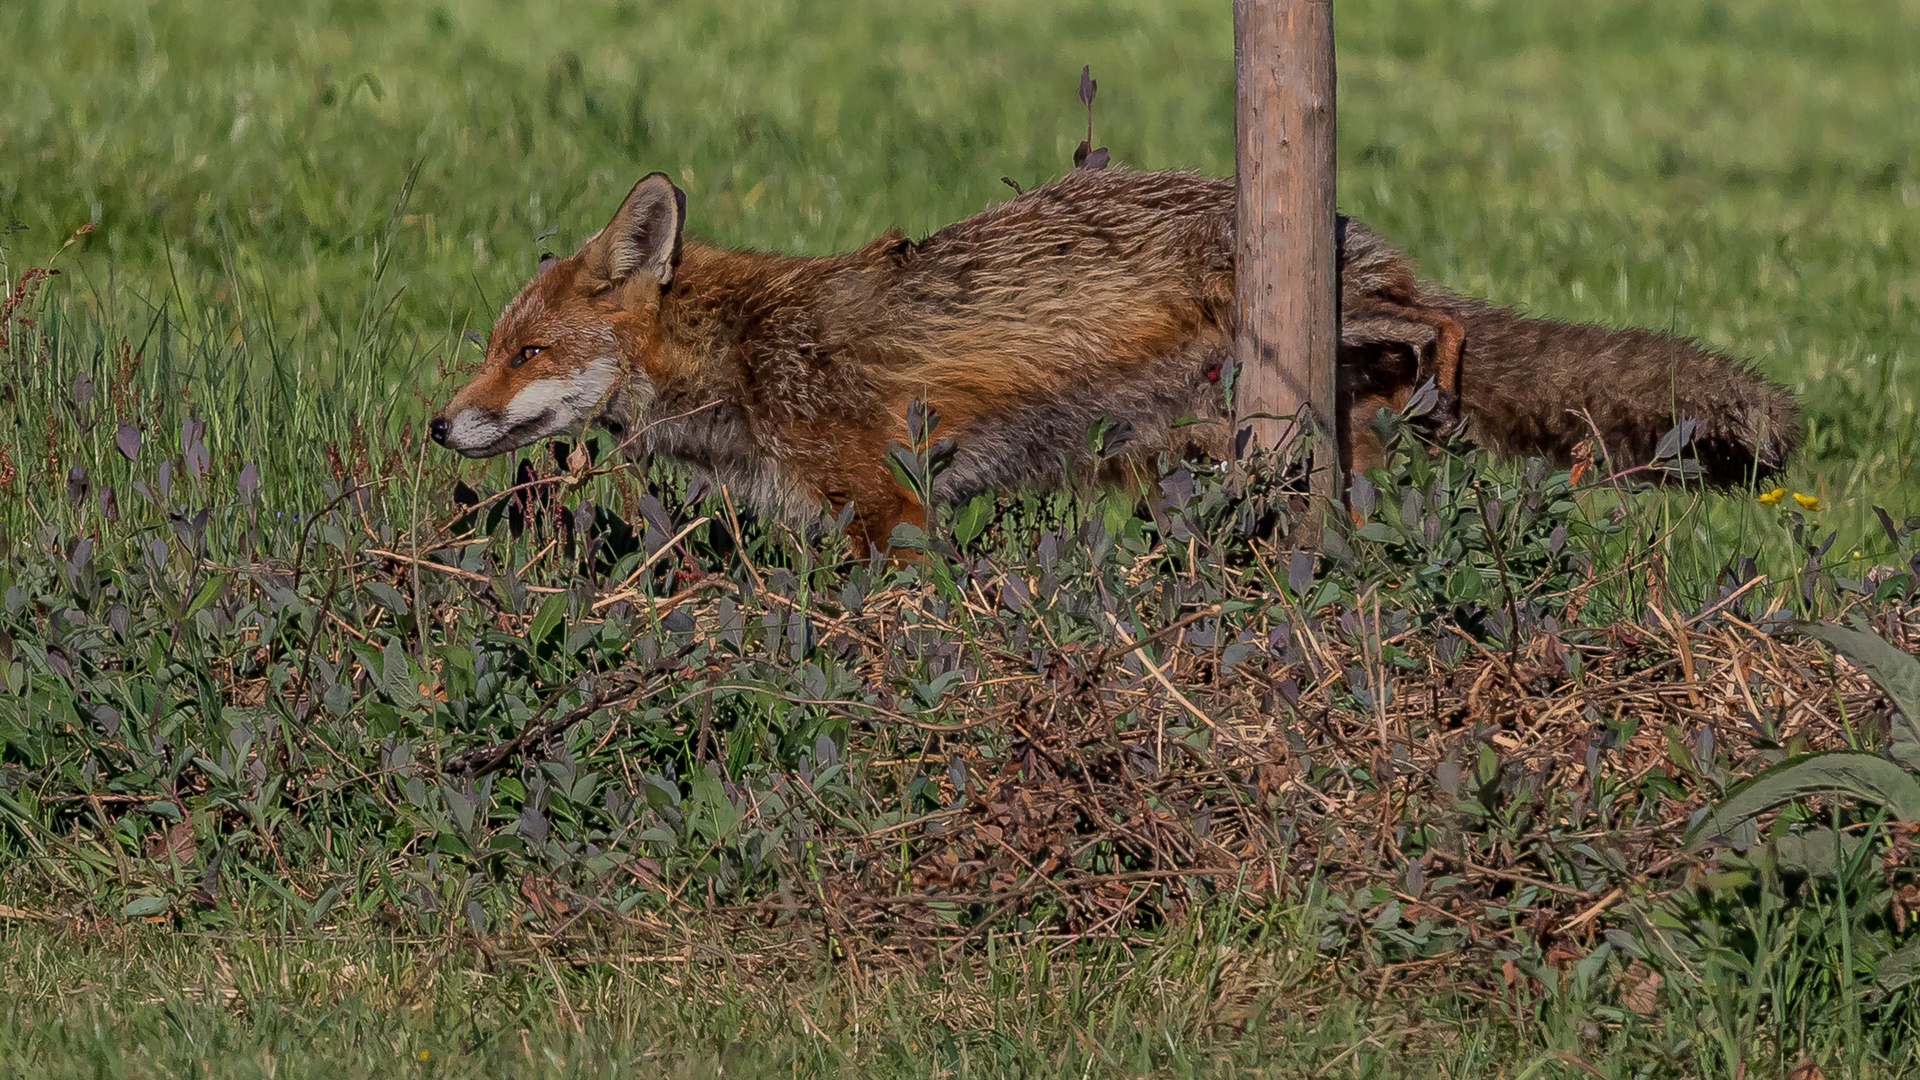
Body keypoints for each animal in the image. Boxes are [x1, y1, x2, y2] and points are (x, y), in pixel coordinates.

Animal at [432, 172, 1797, 553]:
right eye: (491, 352)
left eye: (526, 353)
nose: (441, 425)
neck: (746, 357)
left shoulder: (888, 504)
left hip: (1287, 310)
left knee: (1433, 320)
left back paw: (1443, 385)